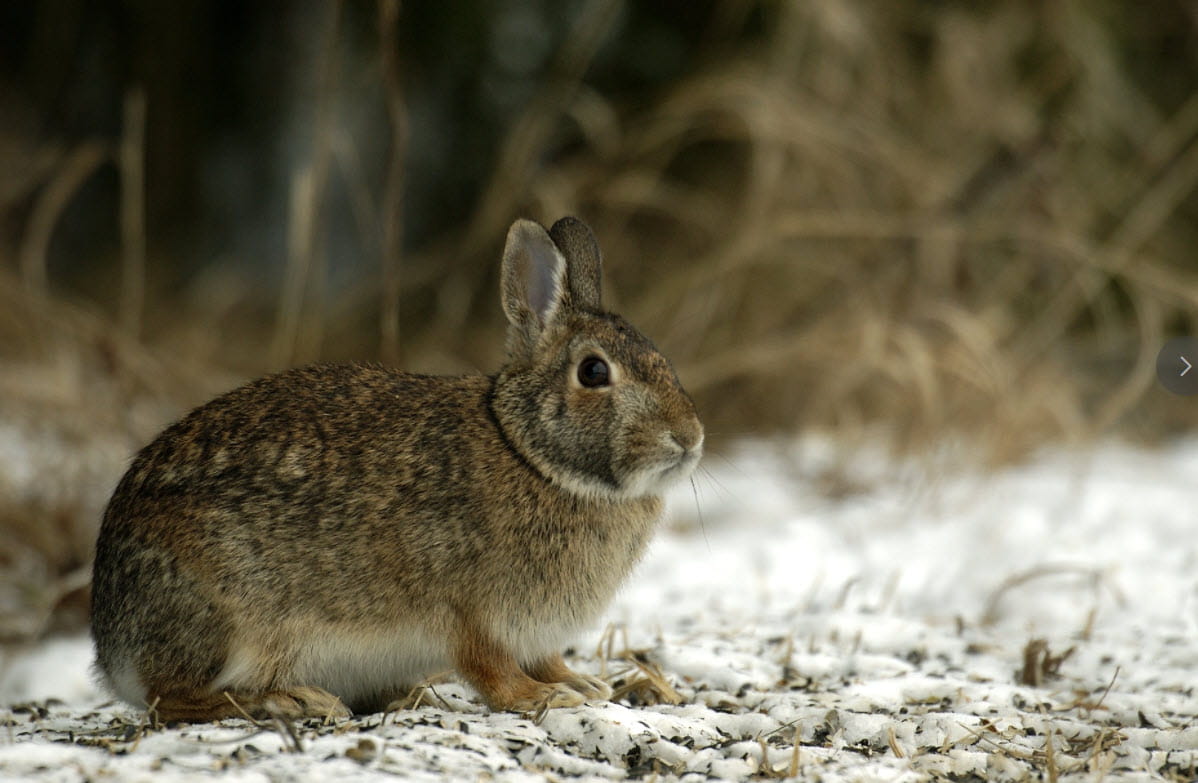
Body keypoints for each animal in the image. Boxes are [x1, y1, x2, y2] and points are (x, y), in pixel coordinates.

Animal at [90, 216, 704, 722]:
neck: (531, 454)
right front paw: (545, 697)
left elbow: (546, 658)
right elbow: (491, 671)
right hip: (223, 617)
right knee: (171, 698)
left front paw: (580, 684)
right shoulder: (471, 611)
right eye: (594, 372)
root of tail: (110, 647)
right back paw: (292, 700)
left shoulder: (532, 631)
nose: (689, 438)